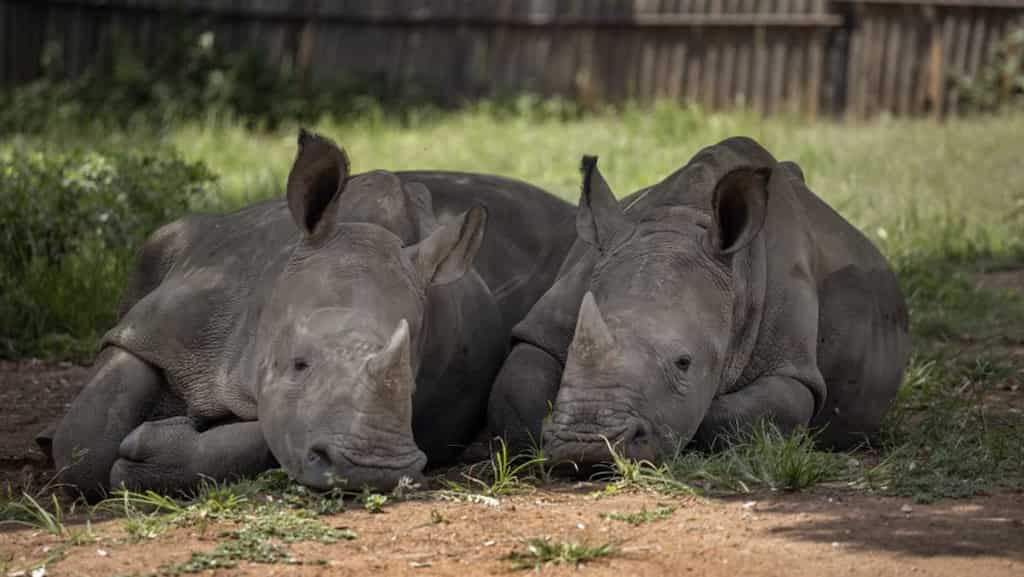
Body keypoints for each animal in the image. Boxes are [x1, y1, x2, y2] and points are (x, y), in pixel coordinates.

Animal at [45, 130, 576, 498]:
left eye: (410, 383)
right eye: (297, 364)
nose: (373, 468)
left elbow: (269, 435)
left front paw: (154, 451)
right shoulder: (165, 326)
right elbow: (86, 442)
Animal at [487, 137, 910, 467]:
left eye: (684, 363)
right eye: (574, 341)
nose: (586, 447)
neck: (681, 220)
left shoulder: (792, 368)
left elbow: (733, 415)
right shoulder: (550, 320)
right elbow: (521, 386)